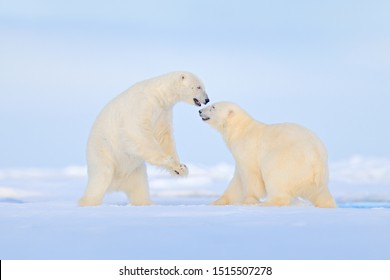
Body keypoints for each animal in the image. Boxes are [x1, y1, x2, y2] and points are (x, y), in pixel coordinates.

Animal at [78, 70, 210, 206]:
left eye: (202, 86)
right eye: (199, 87)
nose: (207, 99)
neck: (159, 95)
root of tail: (116, 184)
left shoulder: (163, 112)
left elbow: (164, 137)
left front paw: (181, 168)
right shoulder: (143, 105)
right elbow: (138, 132)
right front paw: (169, 161)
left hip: (136, 171)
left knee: (140, 188)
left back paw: (147, 202)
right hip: (102, 152)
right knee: (101, 178)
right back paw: (89, 202)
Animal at [200, 101, 336, 207]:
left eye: (213, 107)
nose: (200, 111)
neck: (240, 130)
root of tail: (316, 157)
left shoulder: (247, 149)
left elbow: (251, 176)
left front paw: (248, 201)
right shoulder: (239, 158)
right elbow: (237, 182)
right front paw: (216, 202)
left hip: (287, 161)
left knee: (276, 178)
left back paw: (267, 203)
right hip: (316, 177)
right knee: (321, 193)